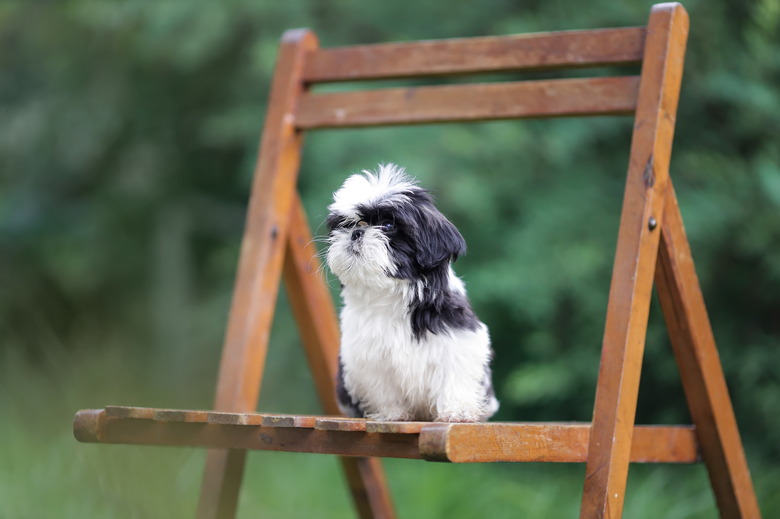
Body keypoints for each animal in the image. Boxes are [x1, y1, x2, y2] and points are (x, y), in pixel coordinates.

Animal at [324, 165, 496, 424]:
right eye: (349, 224)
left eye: (388, 226)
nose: (356, 233)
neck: (389, 295)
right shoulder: (368, 358)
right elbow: (383, 387)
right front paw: (391, 413)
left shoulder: (457, 338)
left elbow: (454, 374)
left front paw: (457, 411)